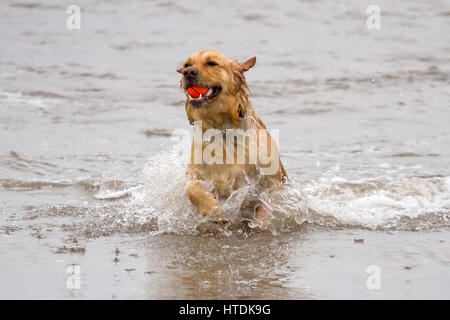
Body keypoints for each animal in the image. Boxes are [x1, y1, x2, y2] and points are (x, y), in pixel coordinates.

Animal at [178, 49, 286, 225]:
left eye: (212, 63)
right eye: (187, 65)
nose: (188, 72)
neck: (222, 128)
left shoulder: (270, 181)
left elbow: (266, 204)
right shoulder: (196, 171)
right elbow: (192, 188)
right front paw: (214, 209)